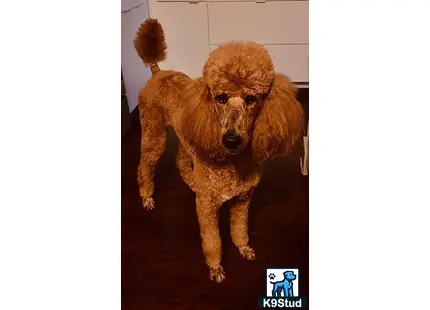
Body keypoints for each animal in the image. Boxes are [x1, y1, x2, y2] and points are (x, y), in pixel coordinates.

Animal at [133, 17, 304, 284]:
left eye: (252, 99)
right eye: (221, 98)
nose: (231, 140)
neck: (233, 163)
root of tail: (158, 71)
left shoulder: (243, 200)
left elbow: (240, 229)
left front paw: (243, 248)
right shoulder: (207, 208)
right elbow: (212, 241)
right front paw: (215, 268)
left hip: (185, 138)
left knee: (181, 160)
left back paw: (191, 182)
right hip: (154, 132)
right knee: (145, 166)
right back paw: (147, 197)